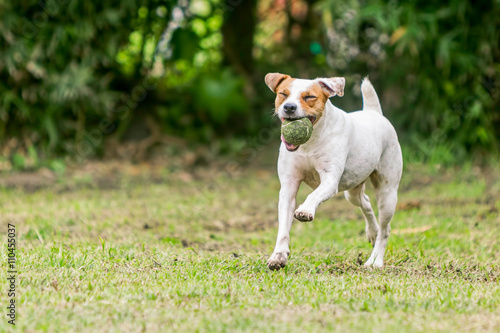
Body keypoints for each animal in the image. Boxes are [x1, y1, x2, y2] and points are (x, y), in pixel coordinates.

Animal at [266, 73, 402, 270]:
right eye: (283, 94)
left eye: (309, 96)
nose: (289, 107)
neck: (309, 143)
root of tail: (374, 112)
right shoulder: (288, 186)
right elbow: (283, 227)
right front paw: (278, 256)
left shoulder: (330, 180)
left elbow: (313, 195)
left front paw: (305, 210)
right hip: (352, 191)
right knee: (365, 202)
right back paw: (372, 231)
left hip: (387, 194)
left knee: (385, 229)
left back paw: (375, 260)